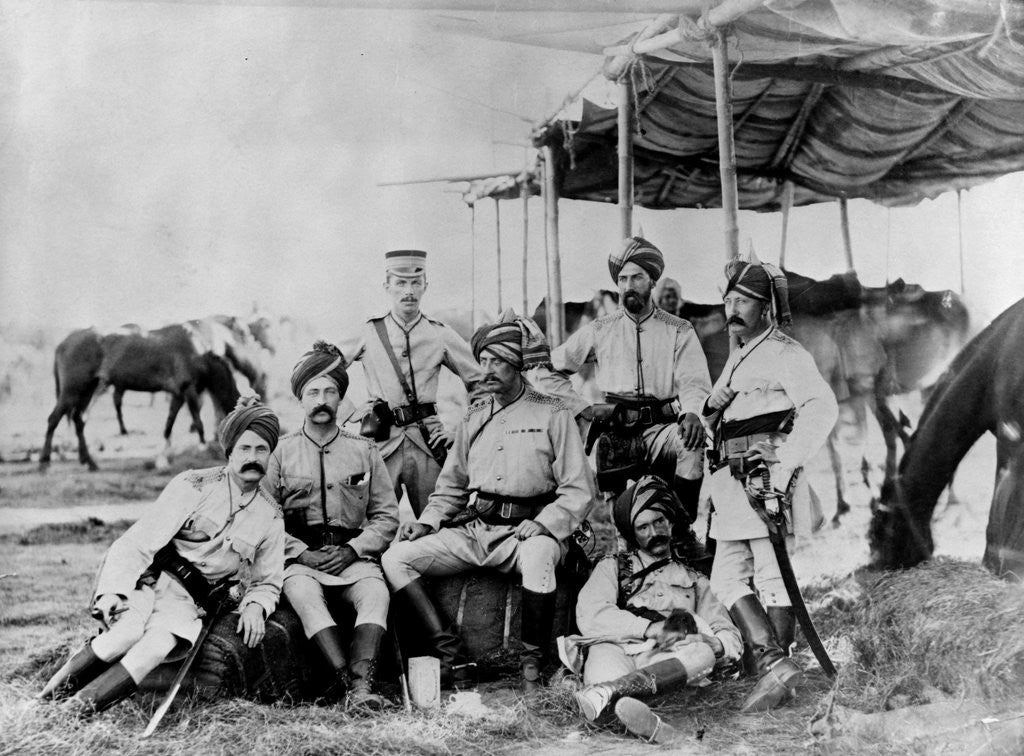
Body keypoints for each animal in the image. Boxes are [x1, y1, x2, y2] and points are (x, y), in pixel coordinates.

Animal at [40, 325, 239, 471]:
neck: (196, 353)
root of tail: (64, 343)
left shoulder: (177, 394)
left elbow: (169, 425)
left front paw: (164, 458)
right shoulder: (188, 390)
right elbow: (198, 422)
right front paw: (201, 450)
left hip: (87, 391)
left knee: (78, 420)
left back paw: (89, 462)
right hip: (73, 391)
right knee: (54, 419)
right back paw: (44, 461)